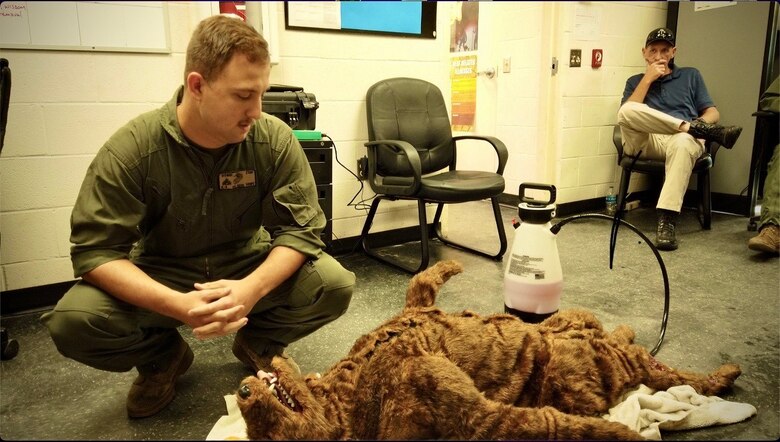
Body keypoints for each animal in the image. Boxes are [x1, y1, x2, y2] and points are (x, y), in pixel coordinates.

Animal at [235, 258, 740, 438]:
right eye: (269, 435)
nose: (243, 391)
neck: (350, 383)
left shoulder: (410, 310)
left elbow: (423, 283)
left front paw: (450, 266)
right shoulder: (432, 395)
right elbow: (535, 423)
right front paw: (619, 434)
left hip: (576, 326)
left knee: (589, 322)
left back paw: (625, 328)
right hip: (596, 366)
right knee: (658, 369)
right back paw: (720, 375)